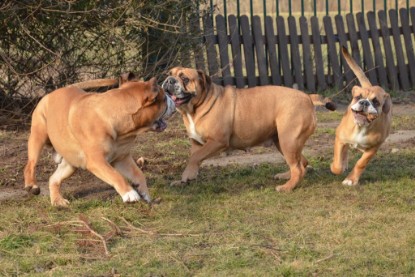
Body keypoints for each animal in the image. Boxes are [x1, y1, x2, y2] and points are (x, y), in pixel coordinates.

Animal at [23, 73, 176, 205]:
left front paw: (144, 192)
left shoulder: (122, 159)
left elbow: (138, 174)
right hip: (38, 136)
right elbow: (116, 175)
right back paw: (32, 186)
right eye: (164, 98)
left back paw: (57, 201)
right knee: (30, 164)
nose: (172, 101)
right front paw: (130, 193)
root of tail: (51, 93)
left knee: (53, 179)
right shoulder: (97, 161)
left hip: (71, 164)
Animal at [332, 47, 394, 185]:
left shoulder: (373, 148)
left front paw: (351, 180)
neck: (361, 126)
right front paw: (337, 167)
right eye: (358, 97)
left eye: (376, 102)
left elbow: (361, 163)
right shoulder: (340, 138)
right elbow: (338, 163)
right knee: (344, 152)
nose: (365, 102)